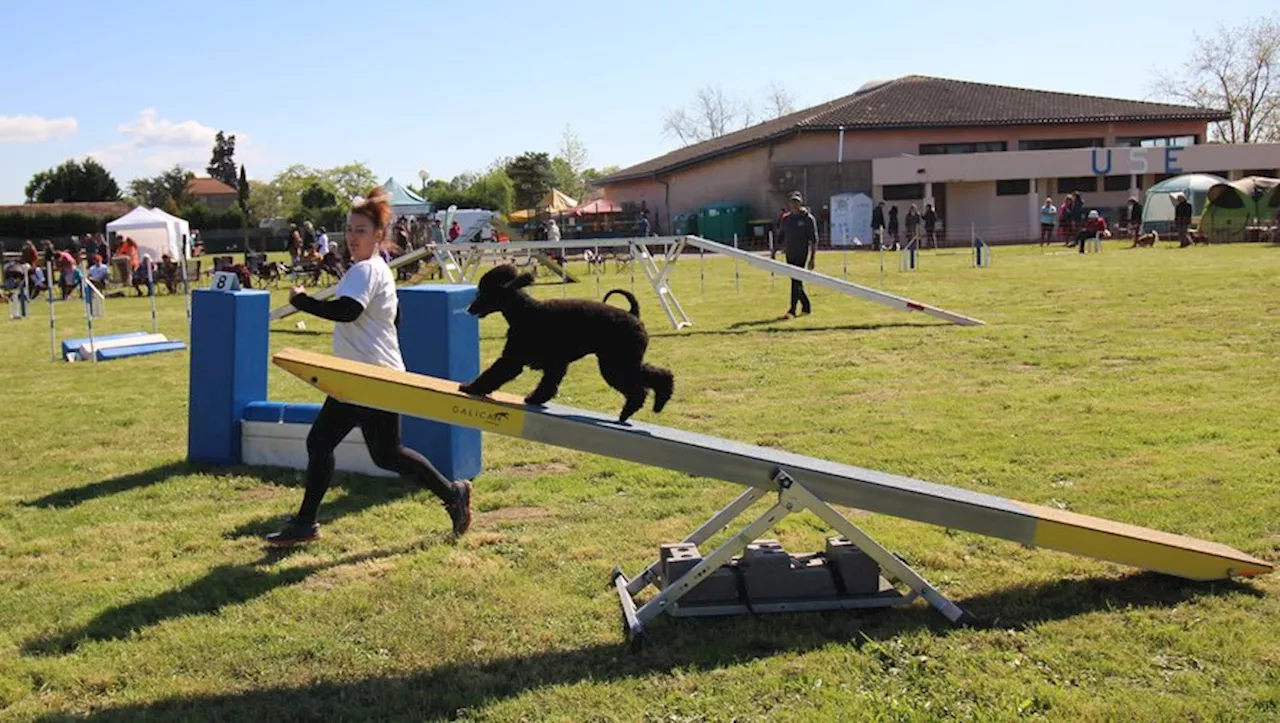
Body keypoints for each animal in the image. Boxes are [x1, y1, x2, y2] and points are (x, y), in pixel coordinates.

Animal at [460, 263, 680, 422]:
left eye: (484, 292)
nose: (470, 308)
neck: (524, 311)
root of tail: (634, 315)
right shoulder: (555, 364)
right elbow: (548, 384)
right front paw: (535, 399)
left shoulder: (513, 359)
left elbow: (494, 374)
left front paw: (470, 387)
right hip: (621, 363)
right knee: (654, 377)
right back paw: (653, 404)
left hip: (616, 365)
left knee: (642, 388)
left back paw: (635, 410)